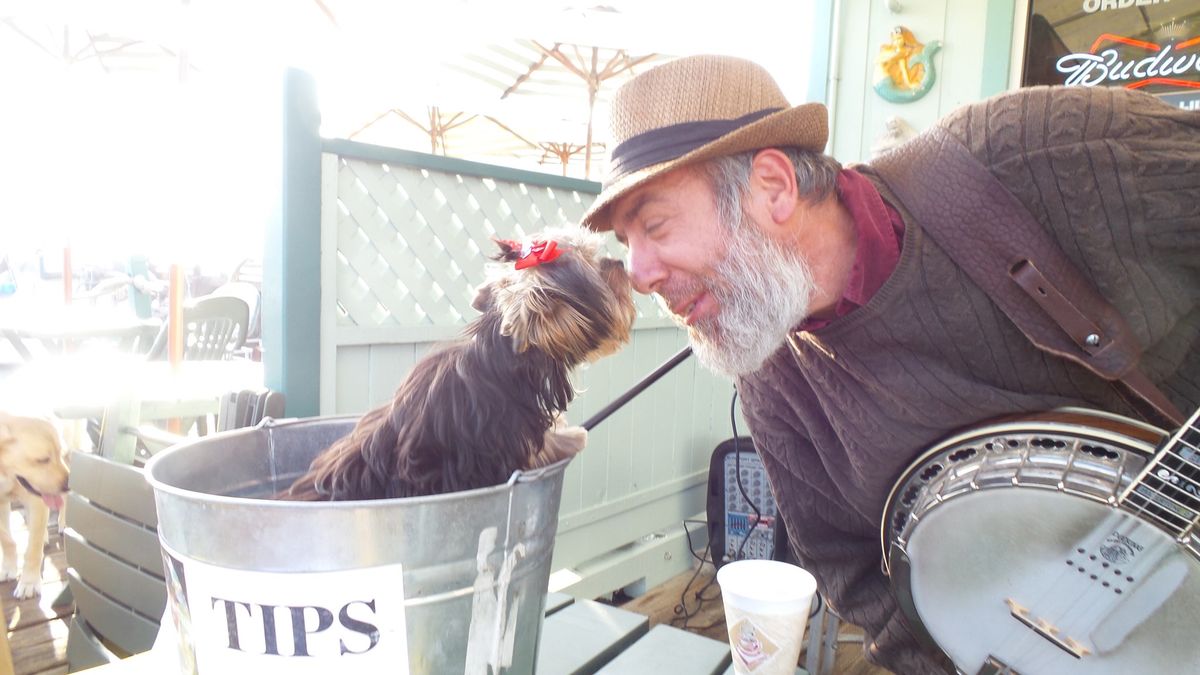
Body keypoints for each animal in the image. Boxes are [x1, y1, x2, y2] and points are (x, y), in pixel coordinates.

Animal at [0, 410, 70, 593]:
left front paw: (29, 582)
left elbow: (33, 549)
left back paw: (62, 523)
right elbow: (6, 539)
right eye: (43, 459)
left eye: (58, 452)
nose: (70, 483)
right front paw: (8, 568)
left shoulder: (37, 501)